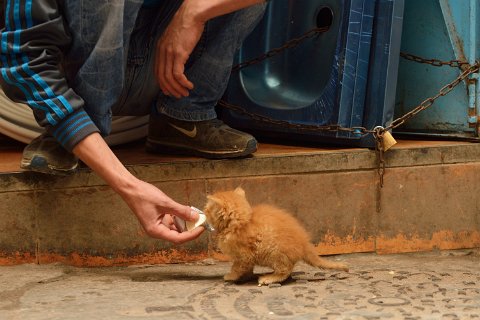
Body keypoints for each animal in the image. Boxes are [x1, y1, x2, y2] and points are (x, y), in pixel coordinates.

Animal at [203, 188, 348, 284]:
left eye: (207, 209)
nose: (203, 211)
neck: (241, 223)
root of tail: (305, 244)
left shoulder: (244, 256)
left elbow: (237, 267)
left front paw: (231, 276)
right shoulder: (247, 258)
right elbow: (247, 269)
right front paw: (246, 277)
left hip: (274, 253)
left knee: (286, 270)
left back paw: (270, 278)